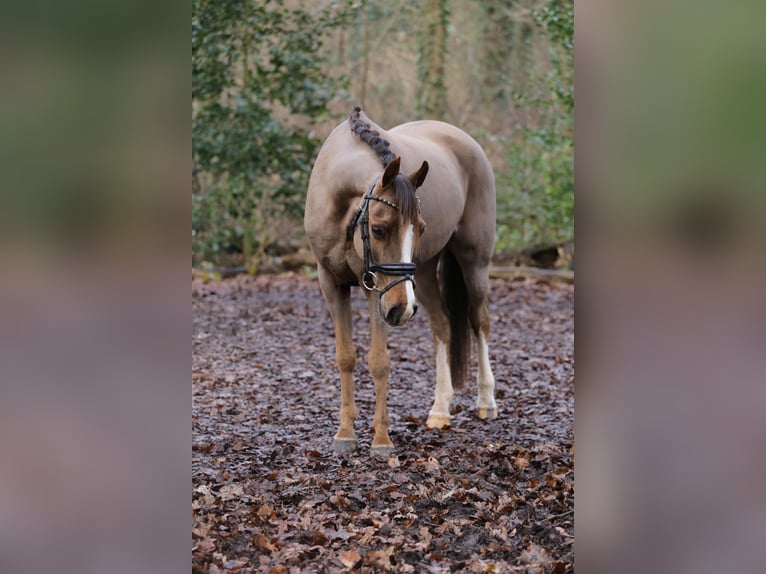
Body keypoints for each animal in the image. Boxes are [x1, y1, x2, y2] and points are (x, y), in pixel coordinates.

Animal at [304, 108, 498, 456]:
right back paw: (440, 410)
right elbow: (345, 357)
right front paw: (345, 433)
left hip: (474, 262)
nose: (402, 311)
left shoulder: (376, 290)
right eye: (379, 230)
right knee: (443, 328)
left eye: (420, 228)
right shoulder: (331, 284)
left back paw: (486, 400)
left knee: (480, 321)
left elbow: (379, 361)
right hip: (422, 273)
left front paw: (381, 439)